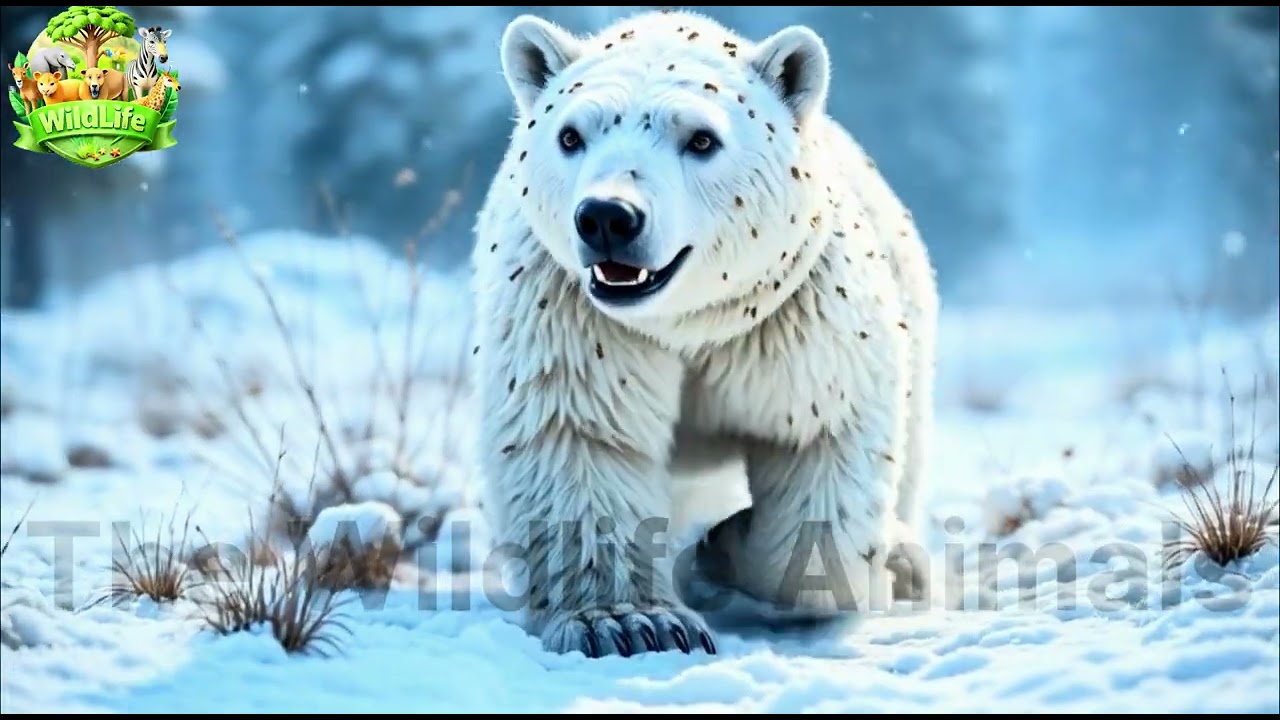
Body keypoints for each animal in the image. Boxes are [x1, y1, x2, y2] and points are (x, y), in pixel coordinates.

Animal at [470, 9, 939, 658]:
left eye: (701, 139)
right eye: (570, 136)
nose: (608, 217)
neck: (686, 321)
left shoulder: (796, 321)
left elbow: (819, 448)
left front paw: (723, 545)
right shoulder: (572, 315)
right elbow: (579, 437)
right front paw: (631, 624)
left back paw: (902, 560)